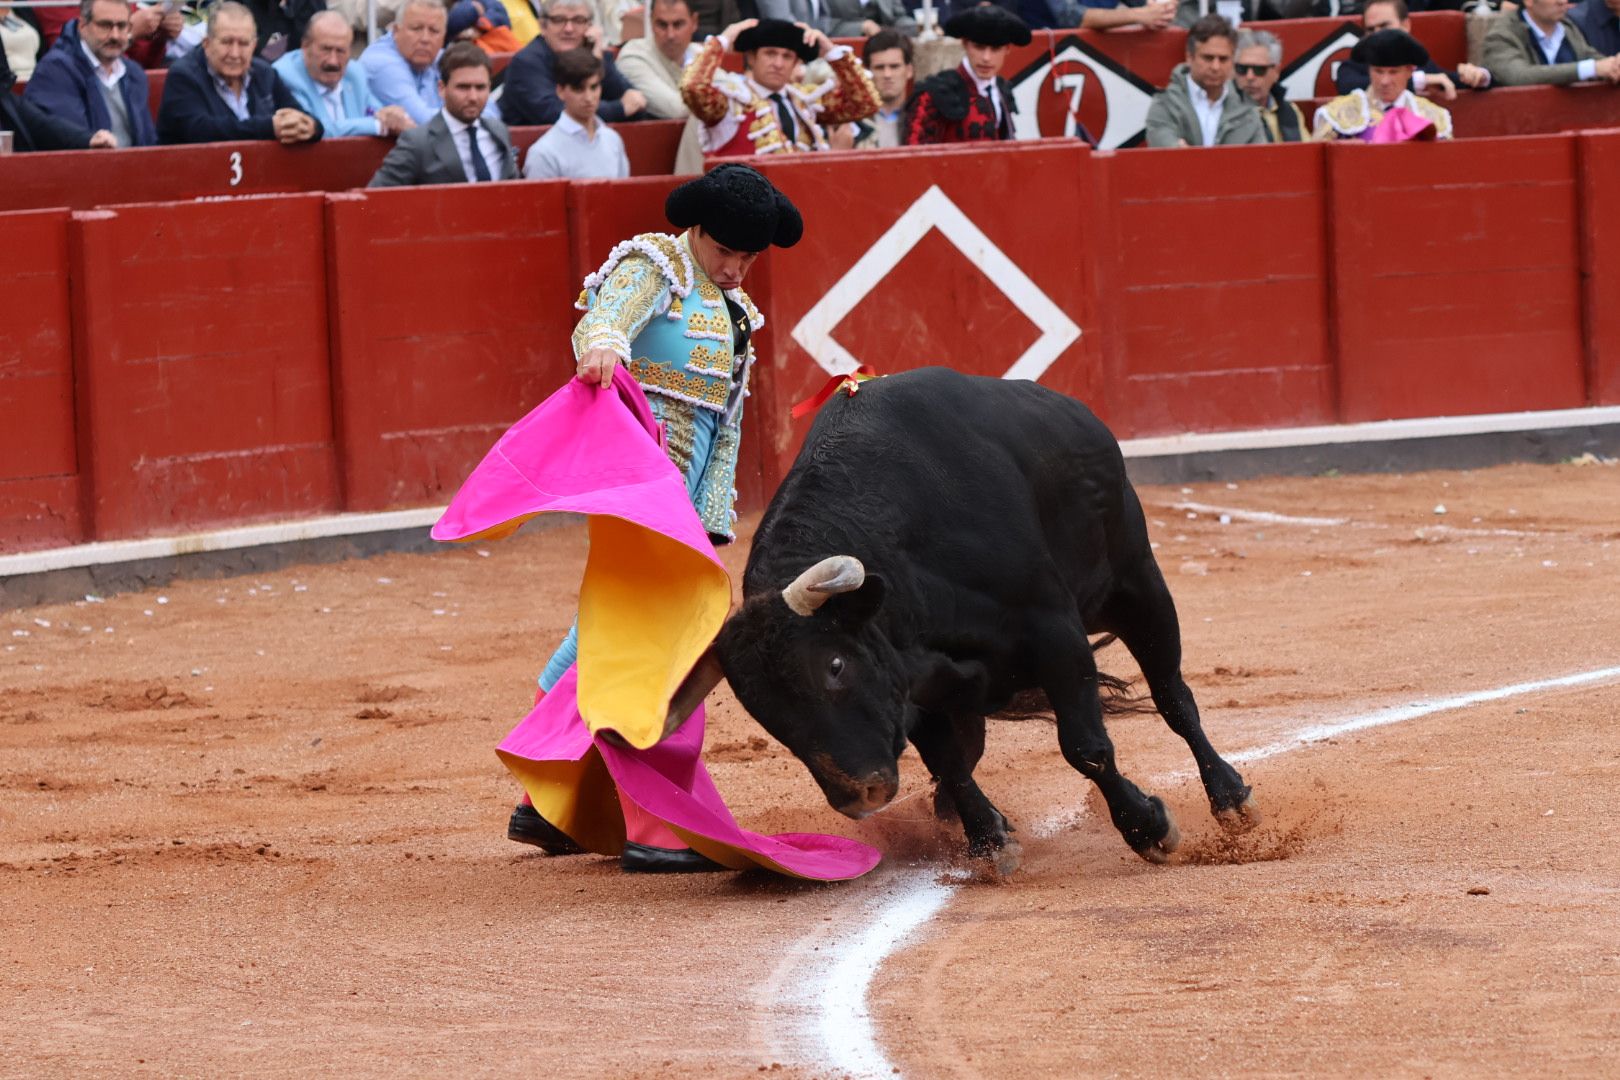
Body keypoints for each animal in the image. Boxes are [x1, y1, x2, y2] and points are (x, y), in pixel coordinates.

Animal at [667, 367, 1250, 874]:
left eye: (834, 666)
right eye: (759, 708)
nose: (858, 795)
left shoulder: (1055, 633)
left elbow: (1086, 747)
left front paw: (1148, 828)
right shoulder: (913, 685)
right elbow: (949, 762)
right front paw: (991, 840)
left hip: (1137, 583)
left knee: (1174, 697)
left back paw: (1231, 800)